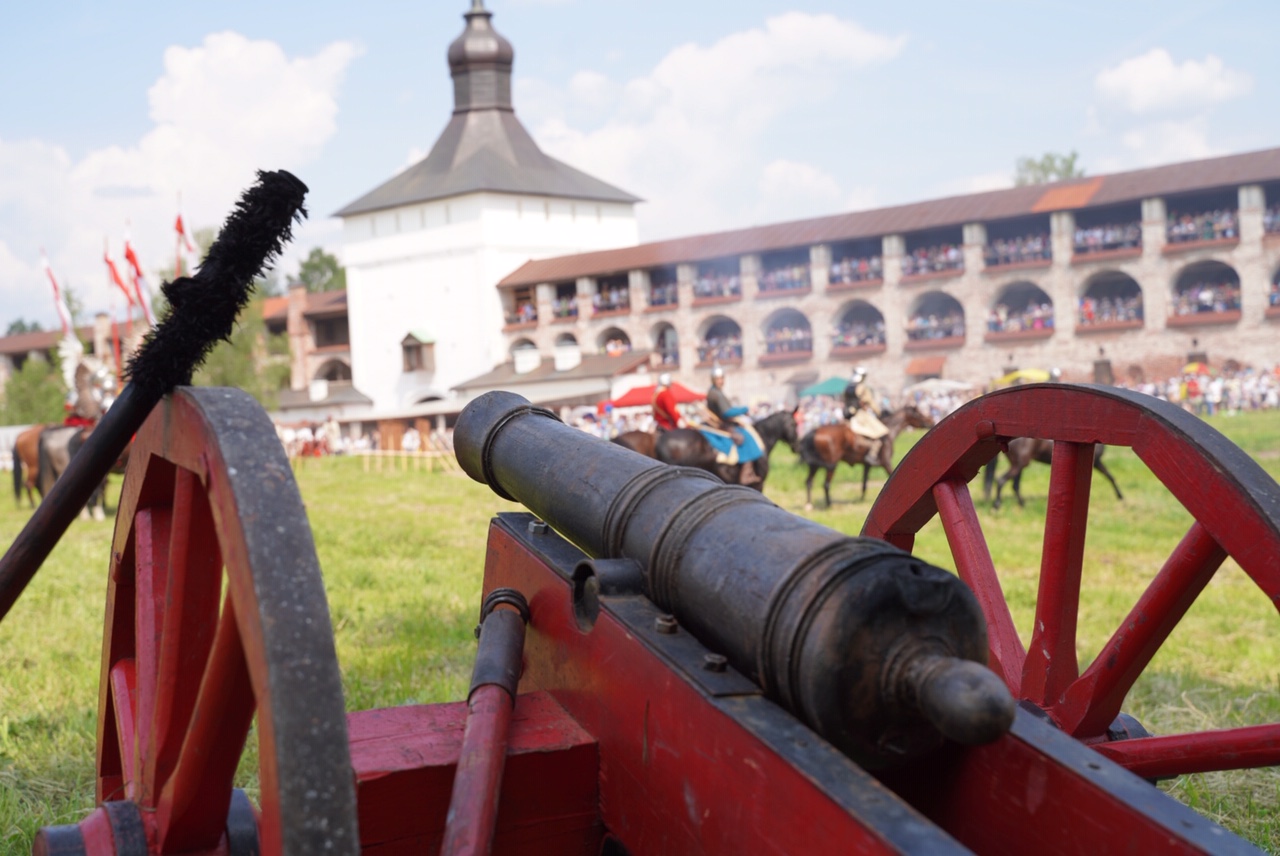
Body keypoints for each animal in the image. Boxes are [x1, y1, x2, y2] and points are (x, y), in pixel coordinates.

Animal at [793, 406, 936, 511]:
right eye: (919, 413)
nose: (931, 421)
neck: (889, 430)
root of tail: (814, 431)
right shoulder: (886, 463)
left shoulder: (867, 465)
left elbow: (864, 483)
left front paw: (861, 499)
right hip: (831, 465)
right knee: (826, 484)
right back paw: (829, 505)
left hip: (814, 466)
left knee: (809, 482)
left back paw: (809, 505)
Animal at [977, 437, 1121, 511]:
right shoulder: (1096, 462)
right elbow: (1111, 477)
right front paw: (1120, 497)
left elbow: (1110, 477)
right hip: (1020, 464)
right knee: (1002, 481)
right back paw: (997, 506)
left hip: (1020, 464)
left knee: (1014, 485)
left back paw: (1022, 505)